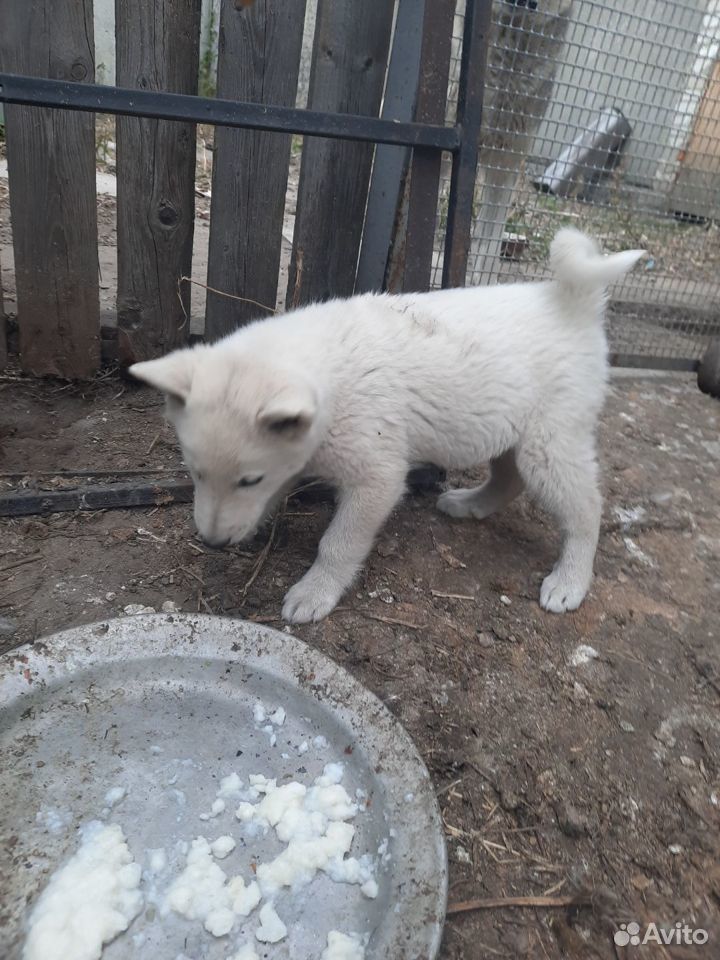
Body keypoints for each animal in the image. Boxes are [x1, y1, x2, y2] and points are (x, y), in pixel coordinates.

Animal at [132, 231, 644, 624]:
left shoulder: (377, 478)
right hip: (508, 429)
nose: (213, 542)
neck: (331, 376)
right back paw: (470, 505)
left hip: (549, 444)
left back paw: (570, 580)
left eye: (248, 479)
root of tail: (571, 303)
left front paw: (314, 592)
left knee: (585, 509)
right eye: (195, 474)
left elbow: (337, 544)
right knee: (509, 477)